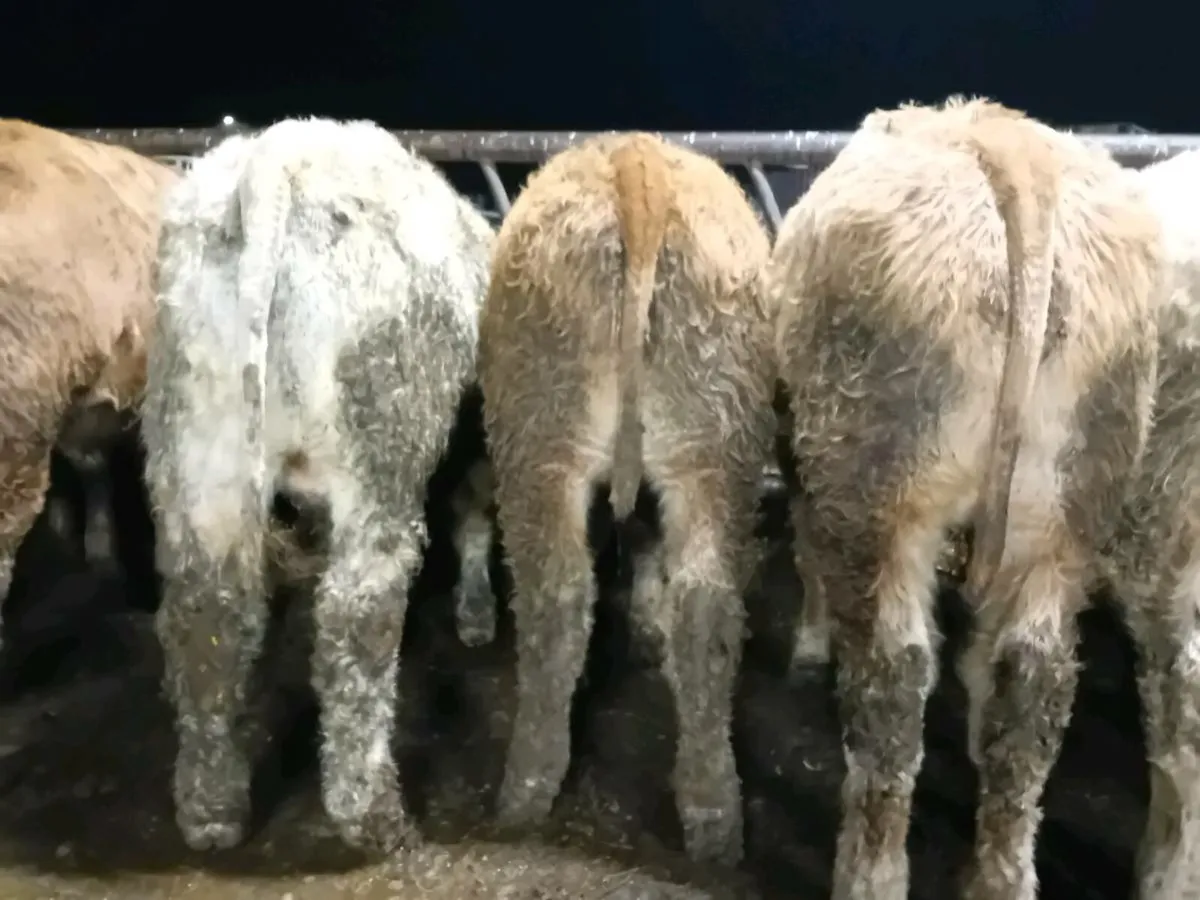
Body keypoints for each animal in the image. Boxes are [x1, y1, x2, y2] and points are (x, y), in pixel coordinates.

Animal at [141, 117, 495, 854]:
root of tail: (280, 155)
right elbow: (475, 517)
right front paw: (478, 615)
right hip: (379, 446)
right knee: (358, 615)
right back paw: (373, 816)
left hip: (201, 442)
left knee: (205, 613)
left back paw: (211, 810)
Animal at [479, 131, 776, 866]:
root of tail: (633, 163)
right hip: (715, 443)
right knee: (707, 609)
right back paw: (713, 818)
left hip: (539, 439)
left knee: (554, 599)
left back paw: (525, 792)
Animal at [769, 96, 1168, 900]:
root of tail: (1004, 141)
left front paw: (808, 645)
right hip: (1066, 515)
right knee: (1032, 684)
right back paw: (999, 877)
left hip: (879, 495)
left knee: (892, 678)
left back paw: (870, 873)